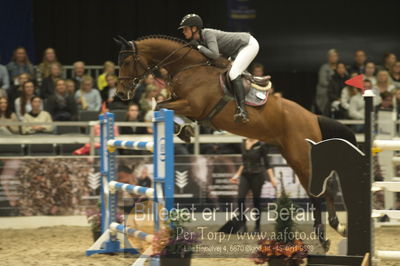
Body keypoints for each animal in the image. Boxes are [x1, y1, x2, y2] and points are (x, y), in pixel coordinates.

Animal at [114, 33, 358, 249]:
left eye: (126, 62)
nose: (120, 94)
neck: (188, 68)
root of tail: (312, 116)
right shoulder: (186, 105)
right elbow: (164, 105)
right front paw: (184, 130)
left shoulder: (192, 105)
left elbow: (160, 105)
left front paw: (181, 129)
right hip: (293, 157)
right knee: (315, 192)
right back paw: (327, 234)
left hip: (301, 157)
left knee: (323, 190)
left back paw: (332, 232)